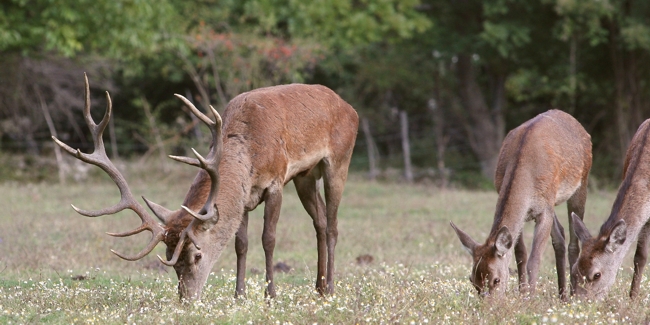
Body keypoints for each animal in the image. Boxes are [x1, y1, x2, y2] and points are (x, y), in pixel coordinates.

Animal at [53, 74, 360, 300]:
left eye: (197, 255)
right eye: (170, 259)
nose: (186, 299)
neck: (248, 153)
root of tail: (350, 107)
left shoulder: (275, 181)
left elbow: (268, 239)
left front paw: (270, 296)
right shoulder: (245, 197)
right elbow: (240, 243)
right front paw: (239, 296)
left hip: (339, 160)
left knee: (332, 226)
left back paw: (330, 288)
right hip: (304, 176)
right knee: (320, 220)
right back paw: (319, 287)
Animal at [448, 110, 588, 298]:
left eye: (496, 280)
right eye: (472, 280)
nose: (488, 304)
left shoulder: (544, 210)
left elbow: (535, 259)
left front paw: (530, 298)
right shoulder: (528, 211)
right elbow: (520, 253)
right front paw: (522, 293)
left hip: (582, 182)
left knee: (574, 242)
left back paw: (573, 294)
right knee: (559, 235)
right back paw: (562, 295)